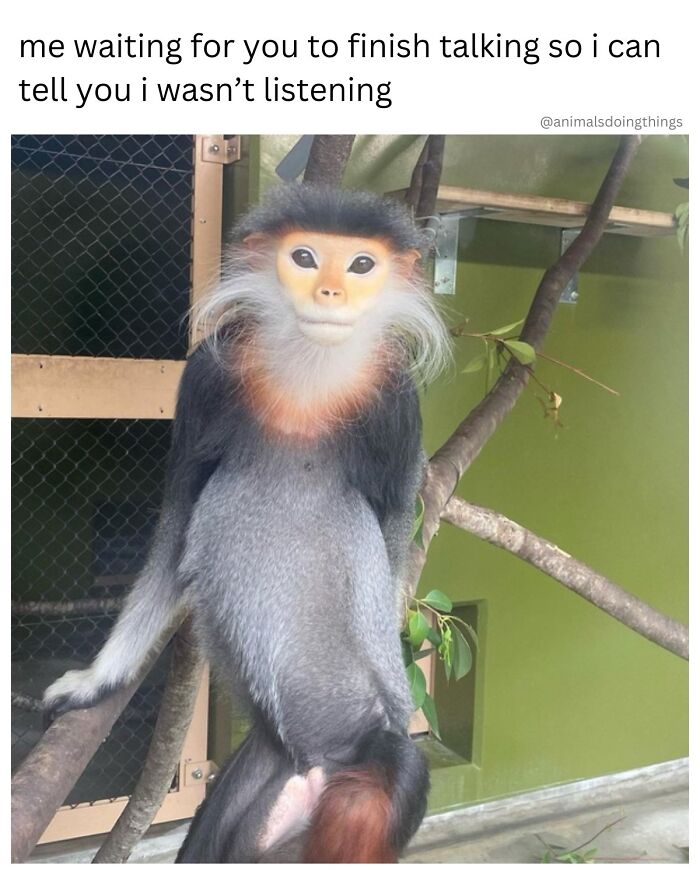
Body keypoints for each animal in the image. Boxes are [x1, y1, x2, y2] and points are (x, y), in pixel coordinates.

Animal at [43, 184, 451, 863]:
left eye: (361, 265)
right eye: (305, 258)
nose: (329, 292)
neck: (309, 377)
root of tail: (324, 759)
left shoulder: (398, 405)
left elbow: (395, 535)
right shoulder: (205, 379)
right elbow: (176, 524)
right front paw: (99, 678)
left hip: (364, 758)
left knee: (395, 769)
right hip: (263, 775)